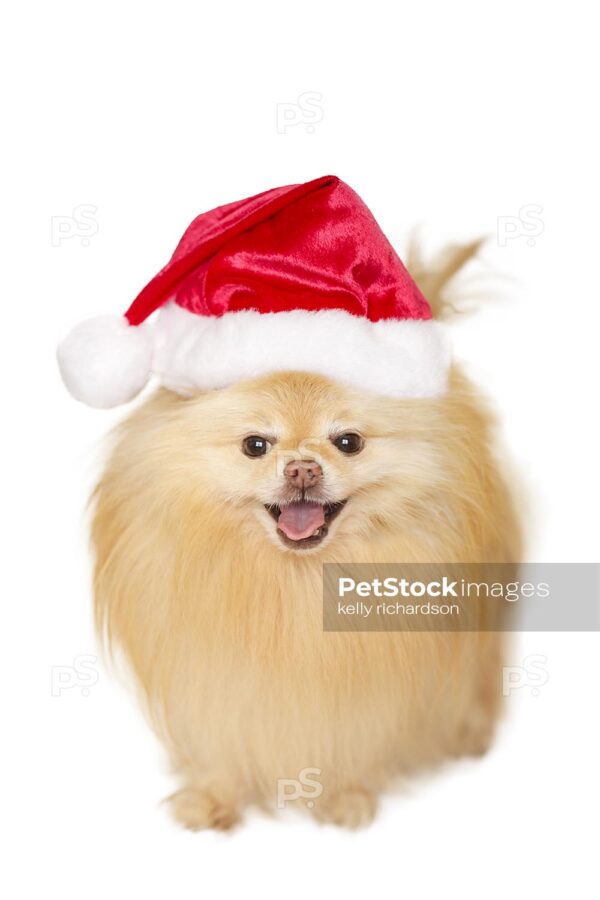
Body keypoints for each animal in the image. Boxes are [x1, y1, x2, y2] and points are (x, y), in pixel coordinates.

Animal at [90, 244, 520, 828]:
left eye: (348, 441)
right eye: (255, 444)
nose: (302, 469)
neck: (294, 583)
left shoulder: (377, 682)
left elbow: (359, 735)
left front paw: (346, 796)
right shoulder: (210, 676)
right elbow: (221, 734)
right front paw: (211, 798)